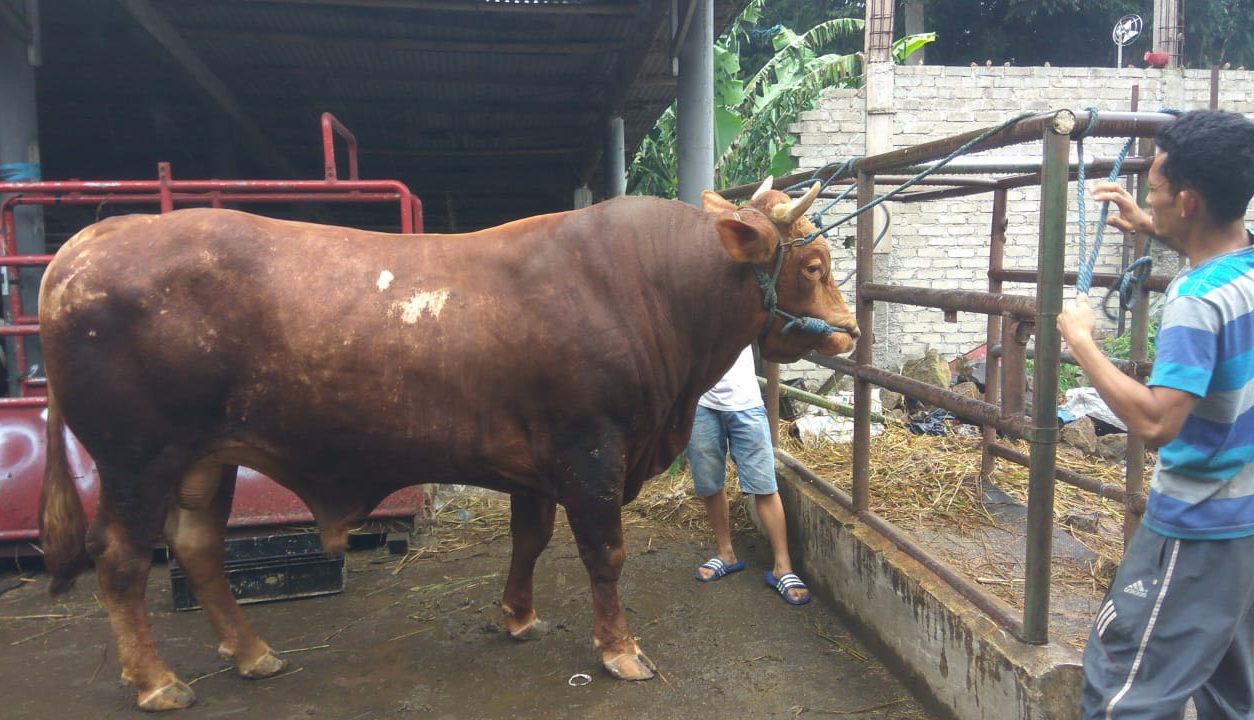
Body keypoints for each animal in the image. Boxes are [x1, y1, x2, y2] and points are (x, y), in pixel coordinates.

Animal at [41, 180, 862, 712]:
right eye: (813, 265)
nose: (852, 332)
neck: (650, 290)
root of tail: (91, 242)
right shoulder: (592, 453)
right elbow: (604, 554)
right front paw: (619, 650)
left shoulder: (539, 464)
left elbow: (530, 539)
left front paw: (519, 617)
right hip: (138, 458)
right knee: (122, 558)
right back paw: (156, 682)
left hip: (206, 460)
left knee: (198, 547)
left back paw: (251, 655)